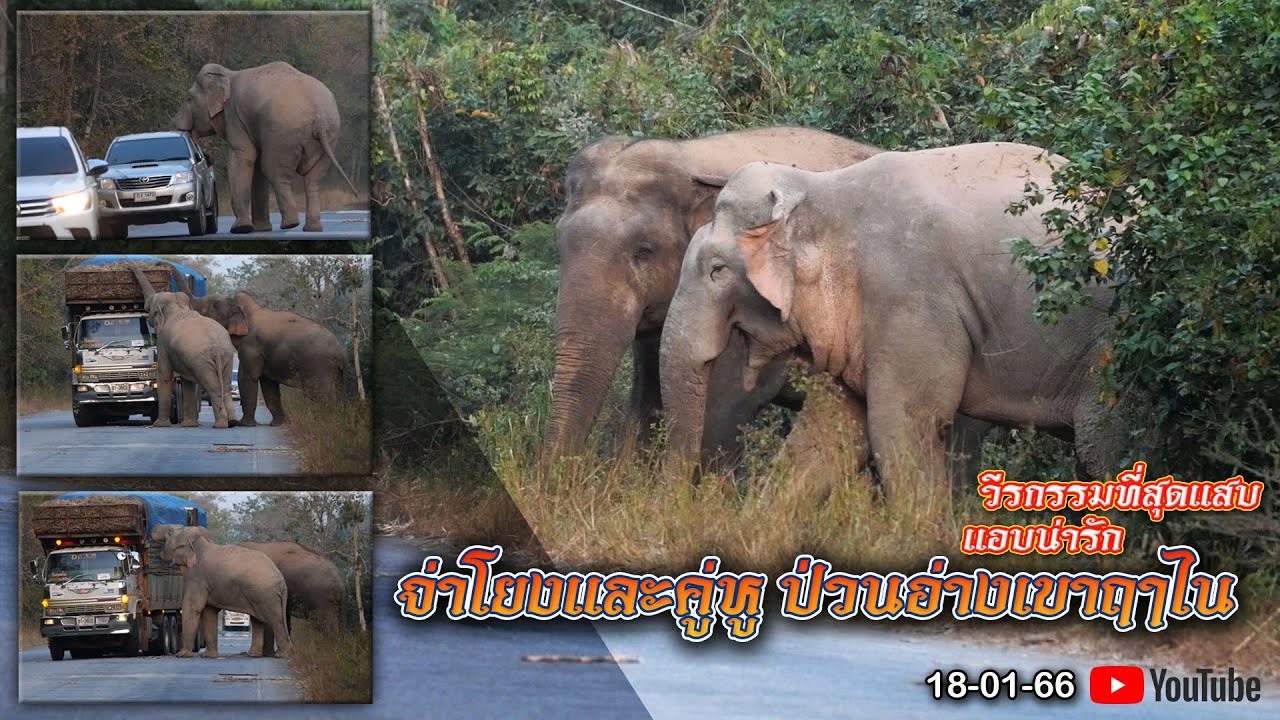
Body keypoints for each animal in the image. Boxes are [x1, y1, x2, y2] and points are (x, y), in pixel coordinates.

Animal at [130, 266, 236, 428]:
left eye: (151, 308)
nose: (128, 266)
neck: (178, 306)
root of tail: (217, 349)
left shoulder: (162, 342)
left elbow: (164, 375)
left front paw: (159, 425)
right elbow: (187, 382)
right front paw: (189, 425)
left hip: (202, 362)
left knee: (214, 388)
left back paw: (220, 425)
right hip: (226, 357)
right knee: (226, 386)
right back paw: (232, 422)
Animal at [152, 525, 292, 658]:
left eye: (169, 533)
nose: (154, 526)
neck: (200, 543)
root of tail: (282, 582)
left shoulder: (198, 578)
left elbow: (192, 607)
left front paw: (182, 655)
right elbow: (209, 612)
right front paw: (209, 656)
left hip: (265, 595)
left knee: (275, 619)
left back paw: (281, 655)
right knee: (258, 620)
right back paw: (254, 654)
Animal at [168, 271, 348, 426]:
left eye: (212, 307)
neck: (247, 311)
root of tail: (341, 354)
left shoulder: (251, 346)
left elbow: (248, 378)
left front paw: (244, 424)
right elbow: (268, 385)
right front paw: (278, 424)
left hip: (319, 367)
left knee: (323, 396)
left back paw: (327, 423)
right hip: (335, 373)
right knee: (338, 394)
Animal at [171, 61, 358, 233]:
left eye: (188, 99)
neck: (228, 75)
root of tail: (319, 119)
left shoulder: (235, 118)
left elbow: (243, 156)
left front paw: (241, 229)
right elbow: (256, 165)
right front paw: (261, 229)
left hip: (283, 135)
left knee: (275, 171)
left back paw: (290, 224)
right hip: (328, 137)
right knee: (313, 178)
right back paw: (312, 229)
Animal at [659, 142, 1141, 497]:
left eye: (717, 270)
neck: (822, 189)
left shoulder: (911, 299)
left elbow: (902, 429)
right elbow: (828, 435)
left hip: (1112, 353)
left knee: (1103, 450)